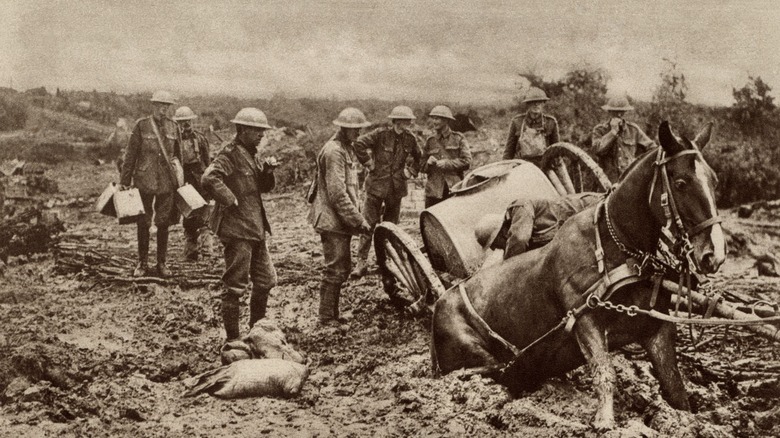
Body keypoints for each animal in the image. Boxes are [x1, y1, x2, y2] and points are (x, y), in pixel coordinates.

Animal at [430, 121, 724, 430]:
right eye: (680, 183)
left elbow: (676, 389)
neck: (617, 248)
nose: (714, 254)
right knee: (482, 371)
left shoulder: (657, 330)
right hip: (474, 357)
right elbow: (605, 372)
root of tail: (439, 304)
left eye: (714, 181)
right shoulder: (585, 320)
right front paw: (605, 421)